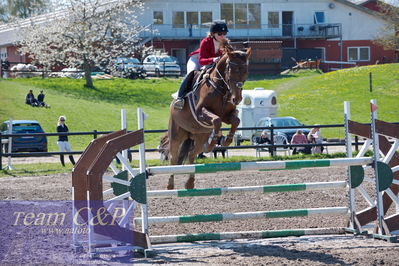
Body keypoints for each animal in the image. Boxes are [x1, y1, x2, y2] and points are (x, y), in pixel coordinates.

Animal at [164, 40, 252, 189]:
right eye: (230, 70)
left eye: (246, 71)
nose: (237, 99)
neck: (222, 90)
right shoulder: (200, 112)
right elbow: (216, 120)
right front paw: (214, 142)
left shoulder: (227, 115)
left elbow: (235, 121)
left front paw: (225, 140)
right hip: (176, 134)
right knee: (173, 158)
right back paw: (170, 185)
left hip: (199, 136)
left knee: (192, 154)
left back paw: (190, 183)